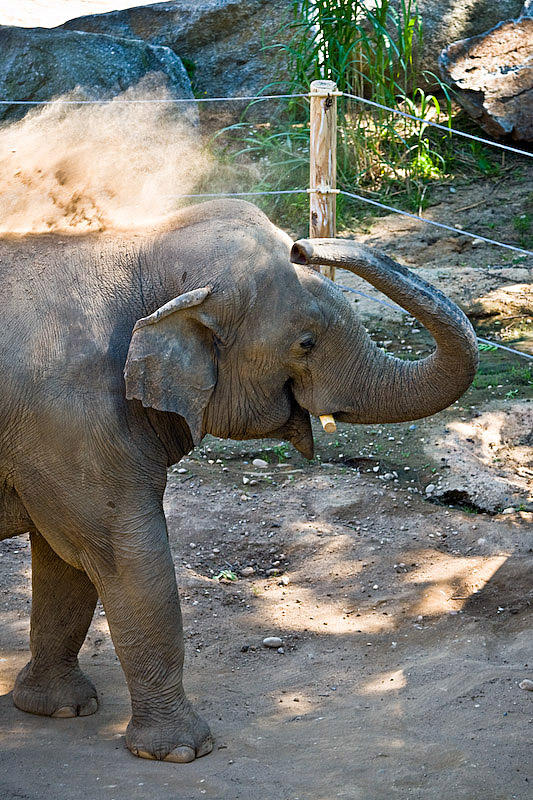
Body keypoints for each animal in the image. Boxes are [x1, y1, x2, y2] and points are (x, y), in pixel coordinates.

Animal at [0, 200, 478, 764]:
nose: (303, 247)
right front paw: (181, 753)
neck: (142, 251)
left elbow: (65, 561)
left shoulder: (57, 440)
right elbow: (125, 558)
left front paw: (59, 709)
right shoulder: (73, 422)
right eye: (306, 342)